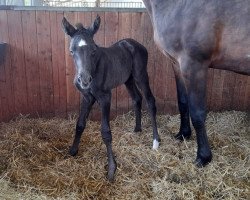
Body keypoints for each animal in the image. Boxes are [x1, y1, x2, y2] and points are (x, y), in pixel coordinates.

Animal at [62, 15, 160, 181]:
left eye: (94, 50)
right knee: (137, 98)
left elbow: (106, 133)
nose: (85, 80)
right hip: (128, 79)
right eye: (71, 51)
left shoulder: (105, 97)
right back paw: (137, 129)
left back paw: (155, 142)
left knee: (150, 101)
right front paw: (73, 151)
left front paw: (111, 169)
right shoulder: (87, 97)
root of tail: (135, 44)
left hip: (140, 75)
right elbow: (80, 124)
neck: (94, 68)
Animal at [143, 0, 250, 166]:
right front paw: (183, 134)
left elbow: (197, 113)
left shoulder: (194, 66)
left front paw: (203, 156)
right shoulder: (177, 65)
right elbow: (183, 103)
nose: (204, 156)